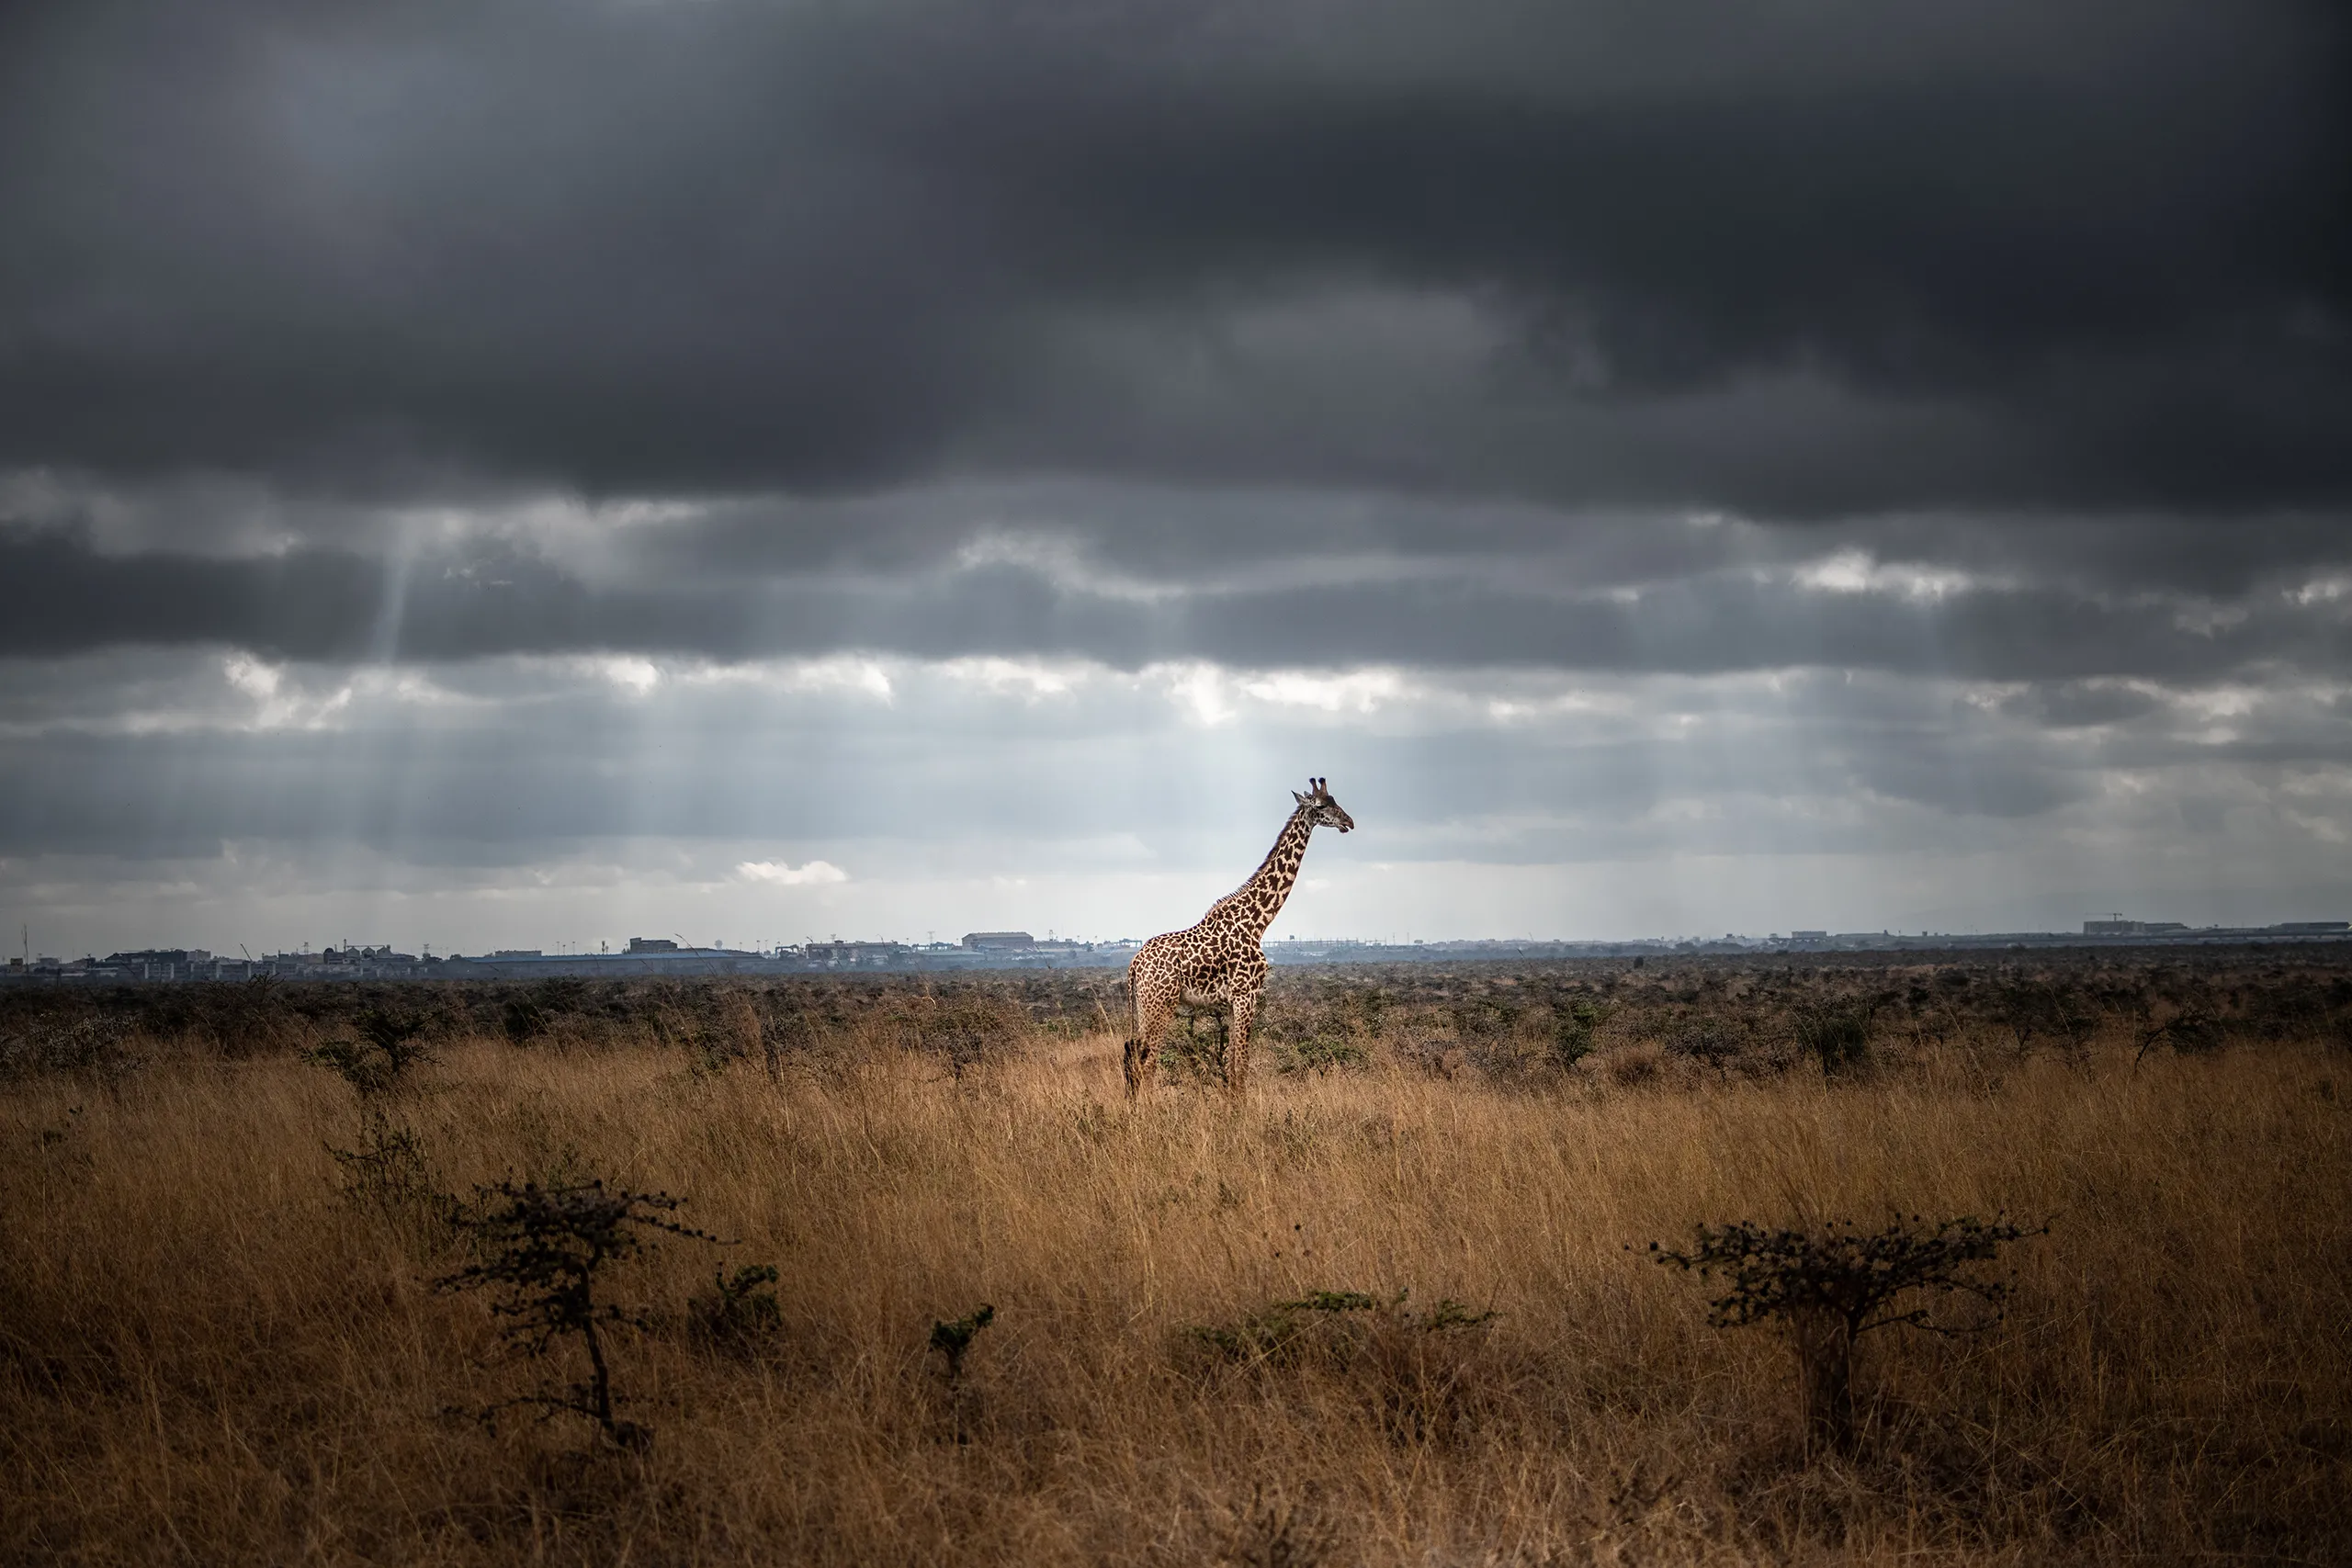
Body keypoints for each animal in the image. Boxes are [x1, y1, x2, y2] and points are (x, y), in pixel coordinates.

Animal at [1123, 777, 1354, 1098]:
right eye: (1321, 806)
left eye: (1336, 801)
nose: (1349, 822)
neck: (1258, 921)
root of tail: (1135, 964)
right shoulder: (1247, 994)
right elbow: (1241, 1065)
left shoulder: (1232, 1003)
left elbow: (1232, 1065)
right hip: (1161, 1003)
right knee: (1147, 1061)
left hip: (1145, 1006)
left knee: (1133, 1055)